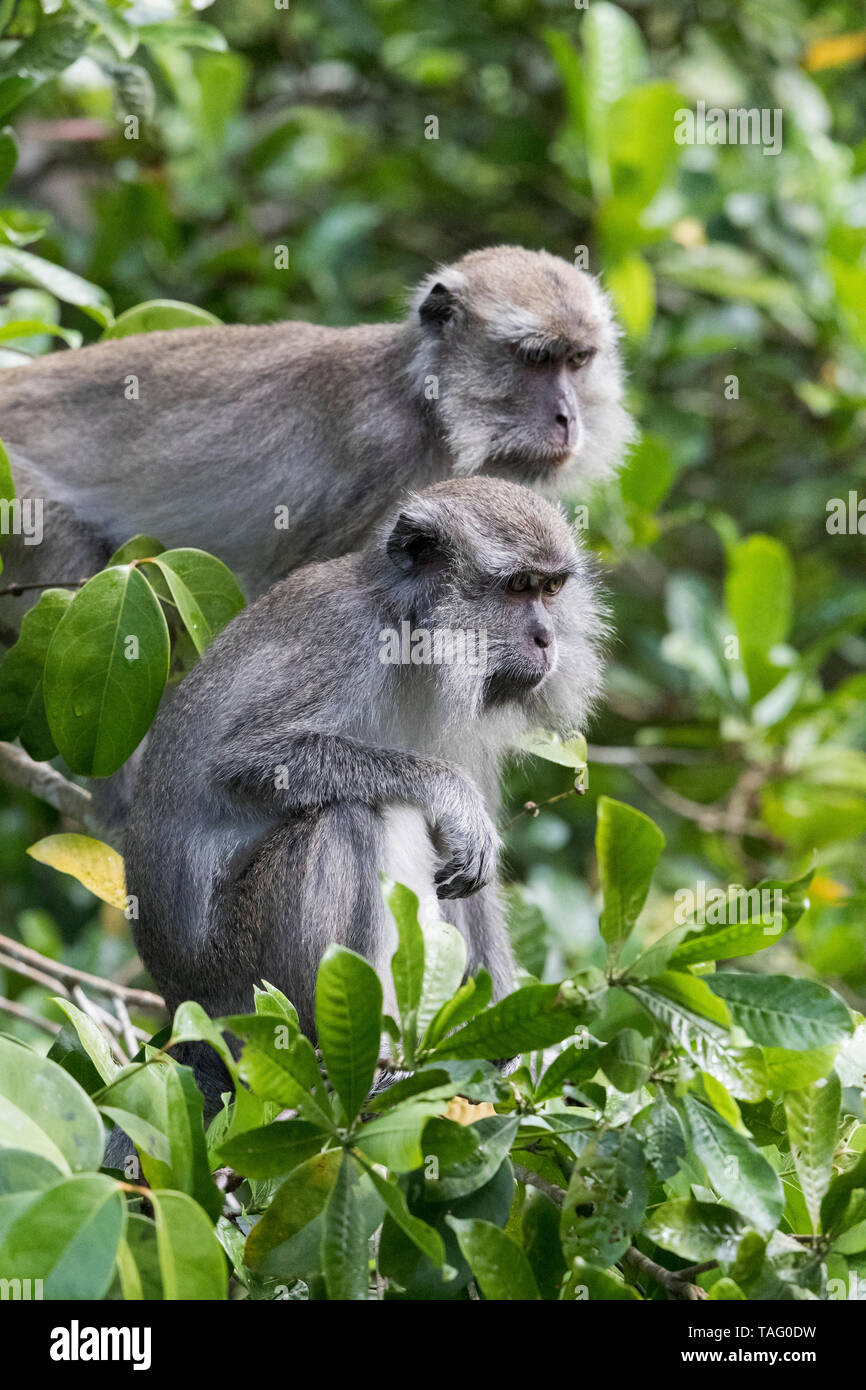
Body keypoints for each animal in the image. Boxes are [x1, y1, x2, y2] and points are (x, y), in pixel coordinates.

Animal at [122, 476, 606, 1117]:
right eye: (517, 587)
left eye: (551, 589)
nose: (546, 638)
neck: (413, 639)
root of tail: (186, 1014)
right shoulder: (346, 639)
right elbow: (244, 758)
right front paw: (449, 793)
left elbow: (471, 874)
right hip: (245, 987)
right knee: (354, 817)